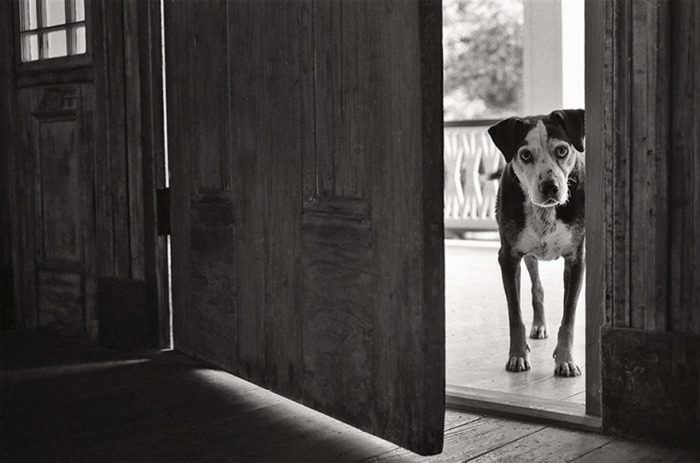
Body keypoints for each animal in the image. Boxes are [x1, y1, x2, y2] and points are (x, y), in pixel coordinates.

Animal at [486, 110, 584, 378]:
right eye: (525, 155)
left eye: (562, 150)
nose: (550, 187)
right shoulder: (508, 257)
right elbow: (515, 314)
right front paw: (518, 356)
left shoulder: (576, 259)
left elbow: (569, 317)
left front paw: (566, 360)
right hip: (527, 255)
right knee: (536, 287)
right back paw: (538, 325)